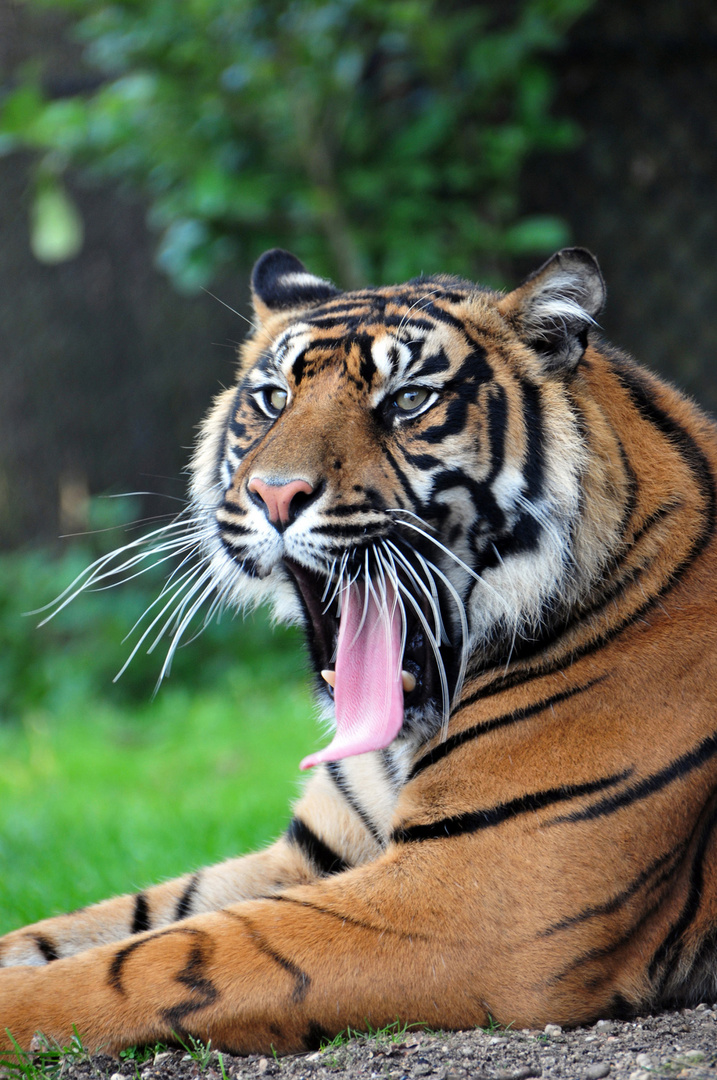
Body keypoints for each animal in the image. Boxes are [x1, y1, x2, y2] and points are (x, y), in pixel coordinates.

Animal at [1, 247, 717, 1054]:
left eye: (407, 401)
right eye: (273, 398)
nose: (276, 495)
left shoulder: (479, 896)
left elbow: (160, 958)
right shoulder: (312, 854)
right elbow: (97, 924)